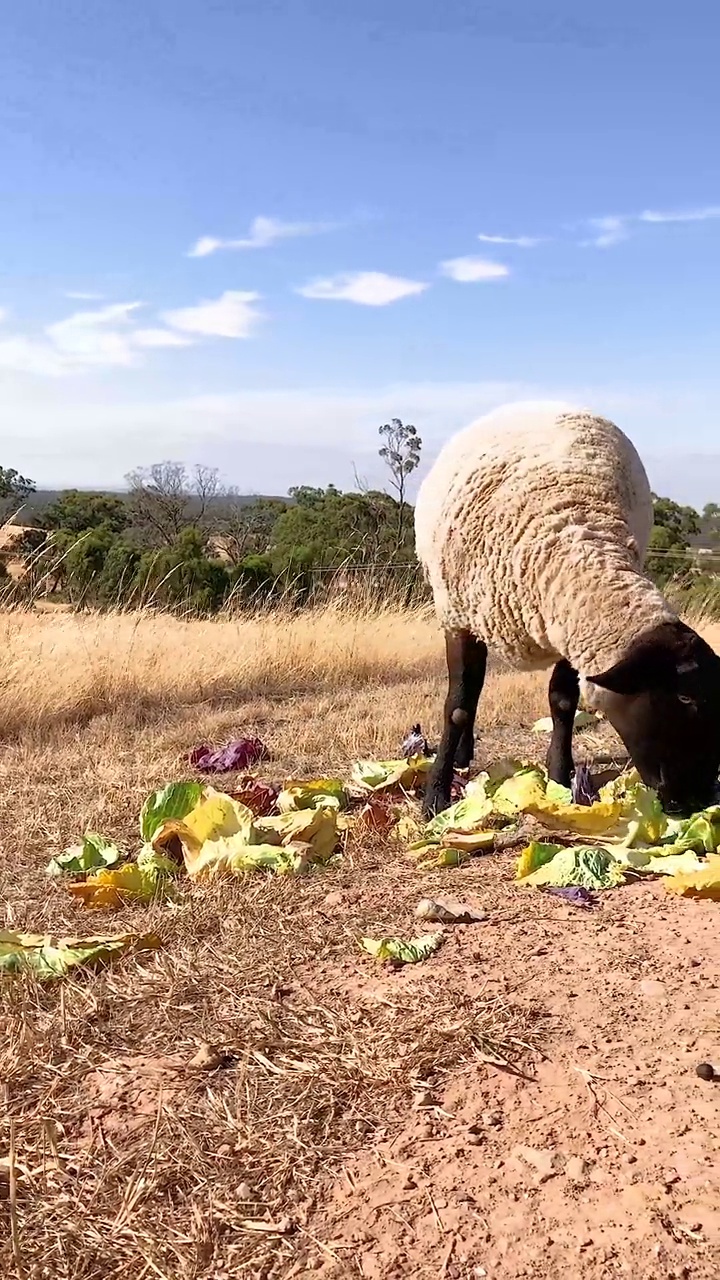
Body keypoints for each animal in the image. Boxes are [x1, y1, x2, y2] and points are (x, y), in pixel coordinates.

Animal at [412, 401, 717, 819]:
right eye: (685, 699)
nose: (699, 799)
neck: (573, 535)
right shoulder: (459, 621)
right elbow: (457, 707)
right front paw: (436, 796)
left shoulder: (568, 630)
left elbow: (562, 702)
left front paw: (559, 775)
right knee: (467, 697)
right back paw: (460, 754)